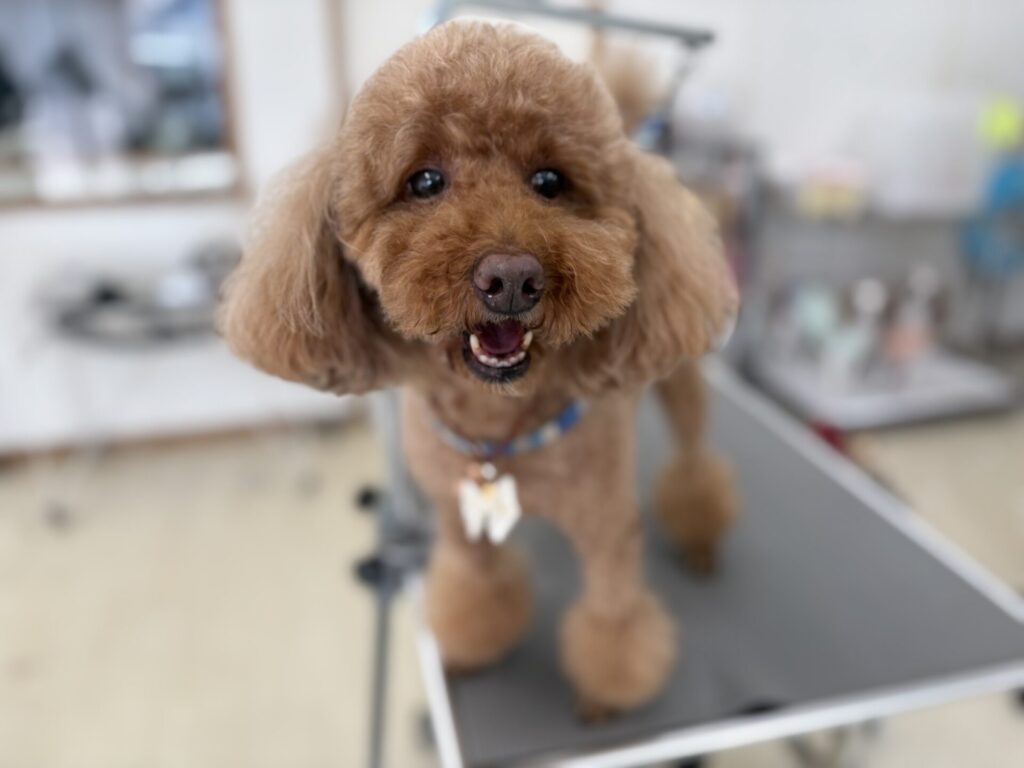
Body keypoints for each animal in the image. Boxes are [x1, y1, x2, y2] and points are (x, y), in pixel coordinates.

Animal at [219, 20, 739, 716]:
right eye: (424, 181)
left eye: (549, 181)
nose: (511, 278)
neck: (497, 432)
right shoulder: (454, 513)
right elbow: (473, 589)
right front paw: (467, 650)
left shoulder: (606, 528)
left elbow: (614, 617)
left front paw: (608, 691)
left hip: (679, 383)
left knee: (695, 461)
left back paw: (701, 536)